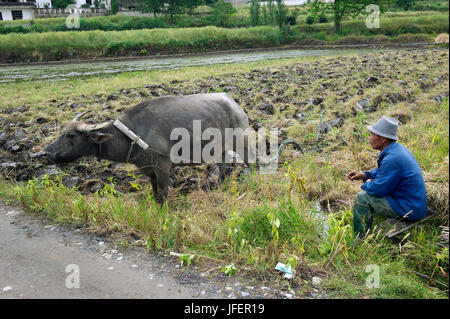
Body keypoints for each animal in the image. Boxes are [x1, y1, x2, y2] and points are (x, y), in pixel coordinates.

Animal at [43, 93, 253, 202]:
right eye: (61, 132)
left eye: (70, 135)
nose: (46, 153)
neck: (133, 134)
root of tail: (235, 104)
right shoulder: (146, 167)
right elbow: (154, 189)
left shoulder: (163, 164)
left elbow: (163, 190)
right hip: (221, 148)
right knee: (224, 167)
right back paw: (216, 186)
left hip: (241, 141)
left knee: (249, 162)